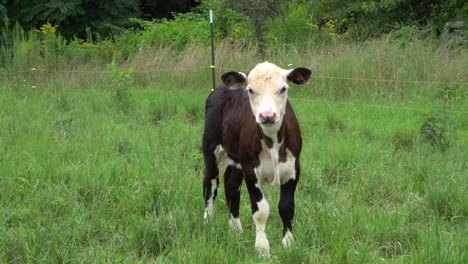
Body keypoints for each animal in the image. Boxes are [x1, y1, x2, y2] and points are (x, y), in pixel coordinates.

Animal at [202, 61, 308, 256]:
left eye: (283, 88)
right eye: (250, 90)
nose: (267, 115)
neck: (273, 142)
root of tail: (219, 88)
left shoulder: (293, 169)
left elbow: (287, 207)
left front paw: (288, 243)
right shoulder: (251, 170)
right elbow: (261, 211)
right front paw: (262, 248)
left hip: (237, 159)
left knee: (231, 185)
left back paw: (235, 229)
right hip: (210, 148)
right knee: (210, 184)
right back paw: (208, 221)